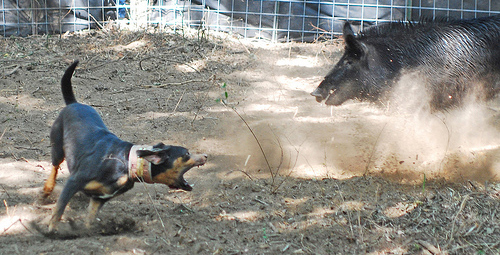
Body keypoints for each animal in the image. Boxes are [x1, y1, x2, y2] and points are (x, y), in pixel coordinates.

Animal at [42, 60, 207, 232]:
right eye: (186, 154)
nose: (206, 156)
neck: (127, 164)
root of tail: (73, 103)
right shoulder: (73, 183)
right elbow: (58, 211)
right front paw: (51, 231)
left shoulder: (98, 199)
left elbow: (89, 221)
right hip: (58, 148)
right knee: (54, 167)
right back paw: (47, 189)